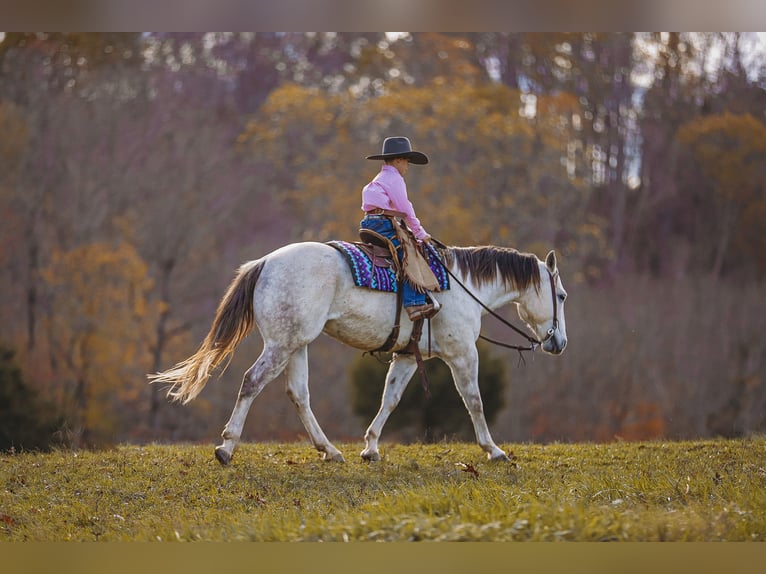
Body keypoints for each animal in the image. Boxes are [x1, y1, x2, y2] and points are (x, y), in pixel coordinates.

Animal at [150, 241, 568, 466]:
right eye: (561, 296)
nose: (559, 343)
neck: (464, 287)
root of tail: (265, 262)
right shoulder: (463, 354)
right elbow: (475, 401)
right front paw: (493, 450)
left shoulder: (406, 356)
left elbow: (390, 398)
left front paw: (370, 448)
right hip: (282, 344)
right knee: (252, 382)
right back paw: (226, 447)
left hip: (297, 344)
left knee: (298, 394)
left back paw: (330, 450)